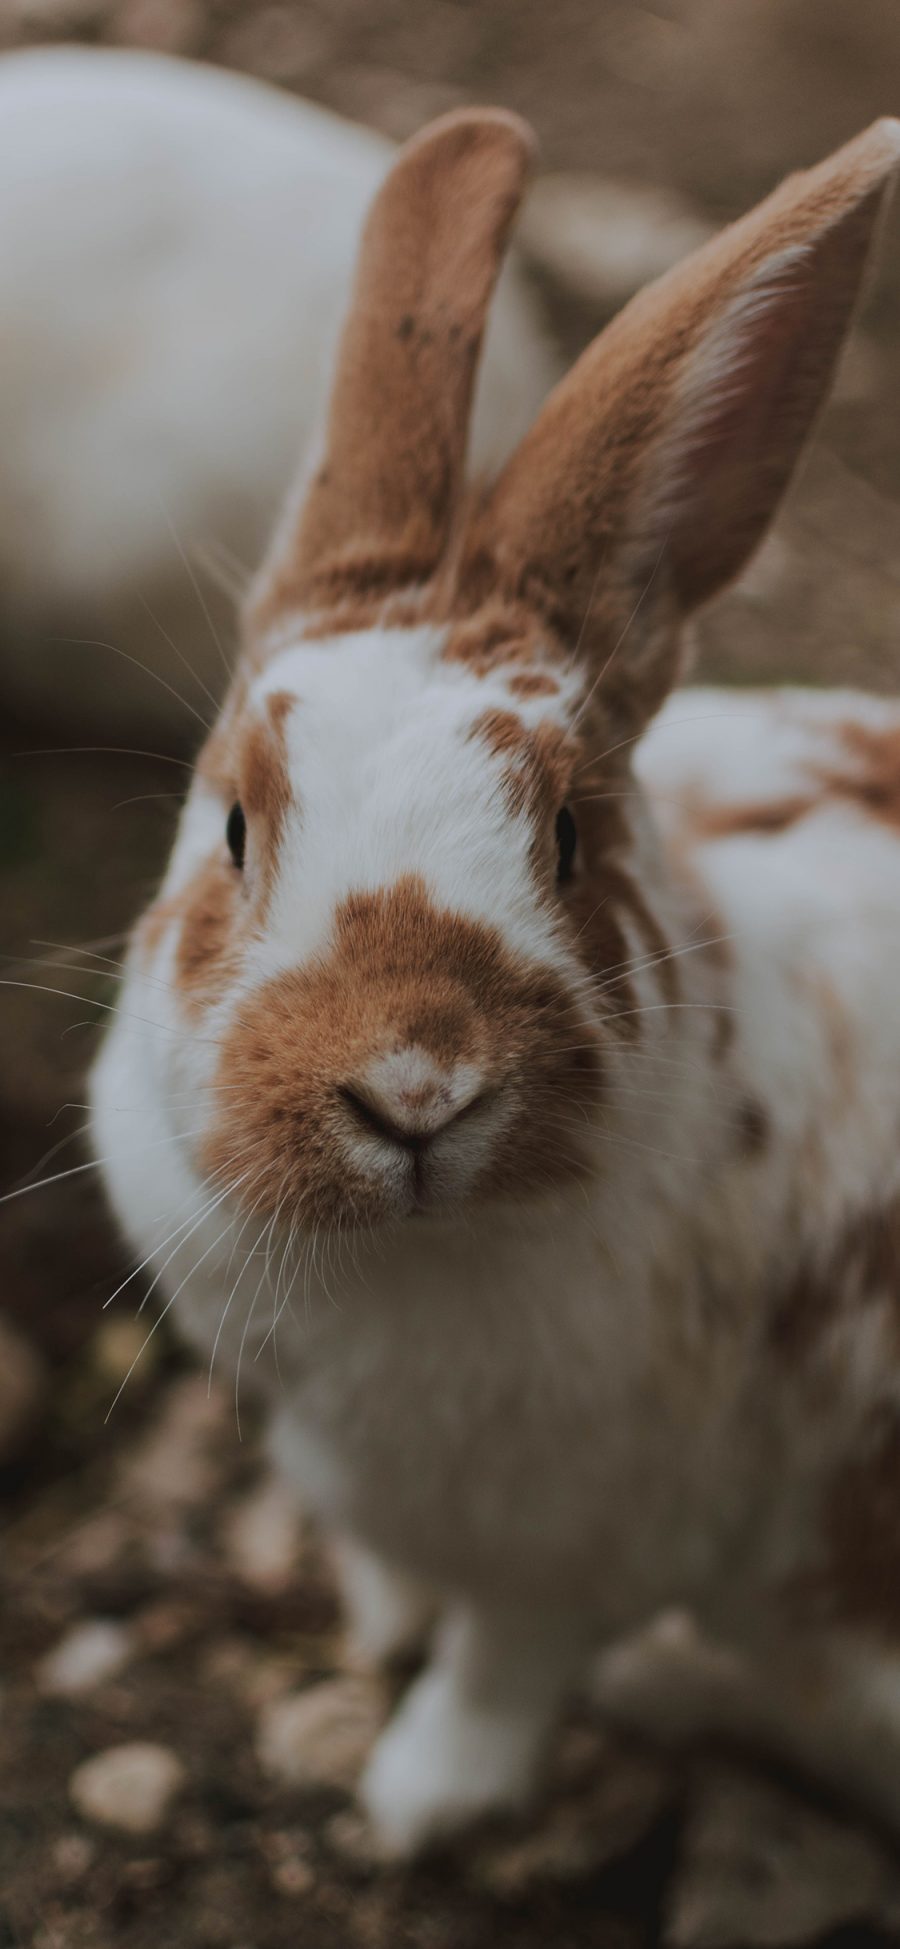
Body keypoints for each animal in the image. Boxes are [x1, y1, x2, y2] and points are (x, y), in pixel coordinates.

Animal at [86, 102, 900, 1855]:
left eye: (572, 836)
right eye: (236, 825)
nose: (413, 1089)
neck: (407, 1256)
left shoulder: (587, 1548)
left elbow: (500, 1674)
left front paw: (413, 1802)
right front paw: (377, 1633)